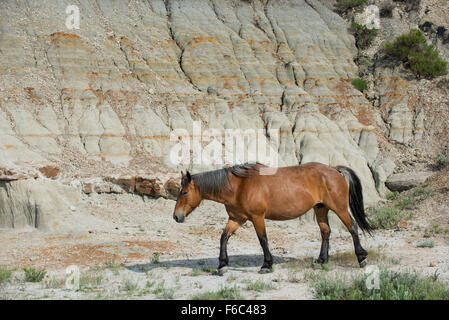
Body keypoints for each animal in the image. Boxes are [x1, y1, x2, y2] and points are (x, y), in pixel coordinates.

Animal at [172, 162, 372, 272]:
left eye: (184, 192)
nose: (176, 216)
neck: (240, 186)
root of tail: (334, 169)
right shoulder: (237, 219)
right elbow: (224, 237)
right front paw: (222, 265)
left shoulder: (257, 218)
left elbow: (263, 240)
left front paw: (266, 264)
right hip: (320, 209)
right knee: (325, 232)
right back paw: (322, 260)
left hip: (339, 208)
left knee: (352, 228)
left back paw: (361, 258)